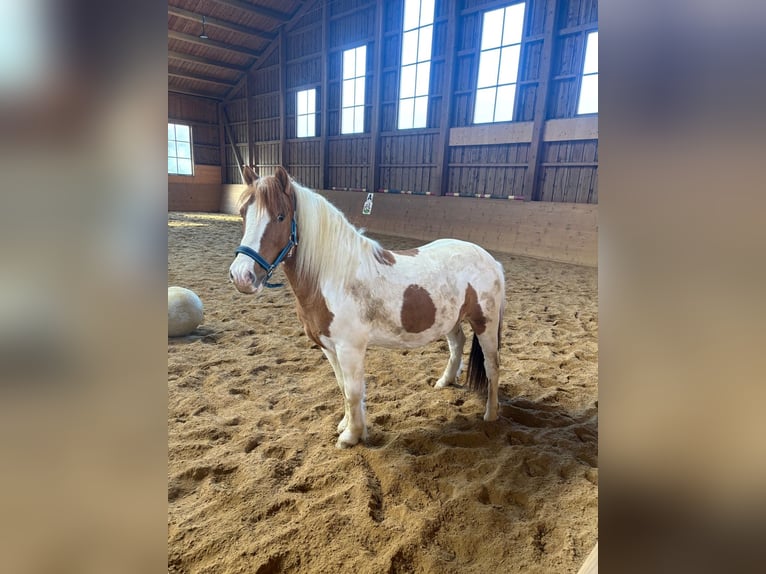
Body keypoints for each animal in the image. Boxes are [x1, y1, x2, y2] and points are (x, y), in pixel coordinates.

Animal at [229, 166, 506, 448]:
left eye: (280, 217)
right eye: (243, 213)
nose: (242, 276)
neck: (333, 276)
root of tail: (490, 259)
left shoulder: (349, 348)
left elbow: (353, 391)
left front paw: (351, 436)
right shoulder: (328, 348)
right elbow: (343, 387)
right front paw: (347, 425)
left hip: (485, 323)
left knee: (493, 365)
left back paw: (491, 414)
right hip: (450, 320)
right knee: (457, 344)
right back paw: (445, 381)